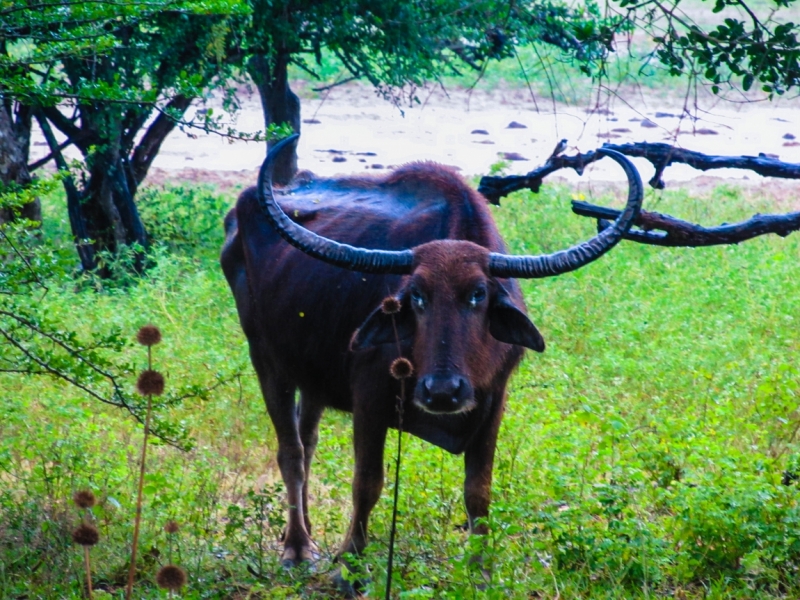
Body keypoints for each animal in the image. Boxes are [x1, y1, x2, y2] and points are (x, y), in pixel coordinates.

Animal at [220, 135, 644, 576]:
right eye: (418, 297)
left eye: (478, 294)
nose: (442, 392)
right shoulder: (369, 397)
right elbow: (367, 483)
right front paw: (350, 563)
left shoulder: (494, 399)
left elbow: (479, 491)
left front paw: (480, 569)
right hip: (265, 357)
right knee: (292, 452)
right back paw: (297, 547)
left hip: (311, 372)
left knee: (308, 438)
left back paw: (305, 533)